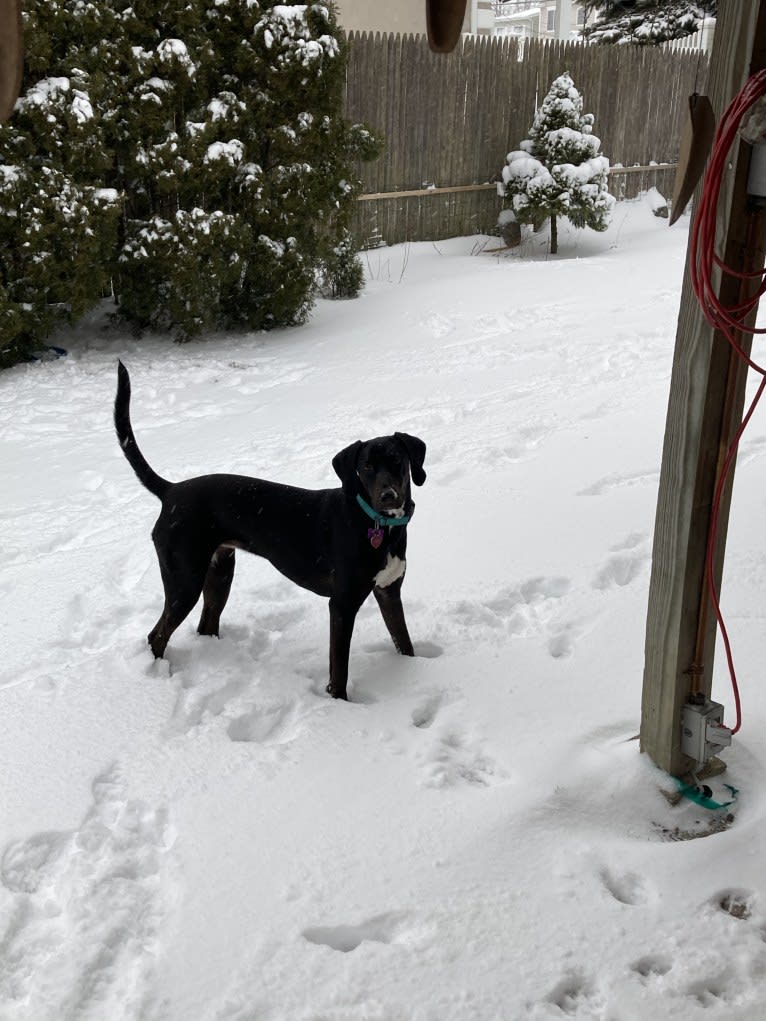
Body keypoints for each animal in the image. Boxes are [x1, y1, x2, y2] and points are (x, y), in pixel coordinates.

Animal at [113, 361, 426, 702]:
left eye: (397, 460)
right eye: (366, 466)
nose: (388, 496)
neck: (377, 524)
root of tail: (171, 491)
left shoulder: (388, 591)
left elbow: (404, 642)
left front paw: (415, 670)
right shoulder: (342, 604)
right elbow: (339, 670)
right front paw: (340, 705)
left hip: (219, 572)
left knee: (205, 625)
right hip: (184, 581)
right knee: (156, 634)